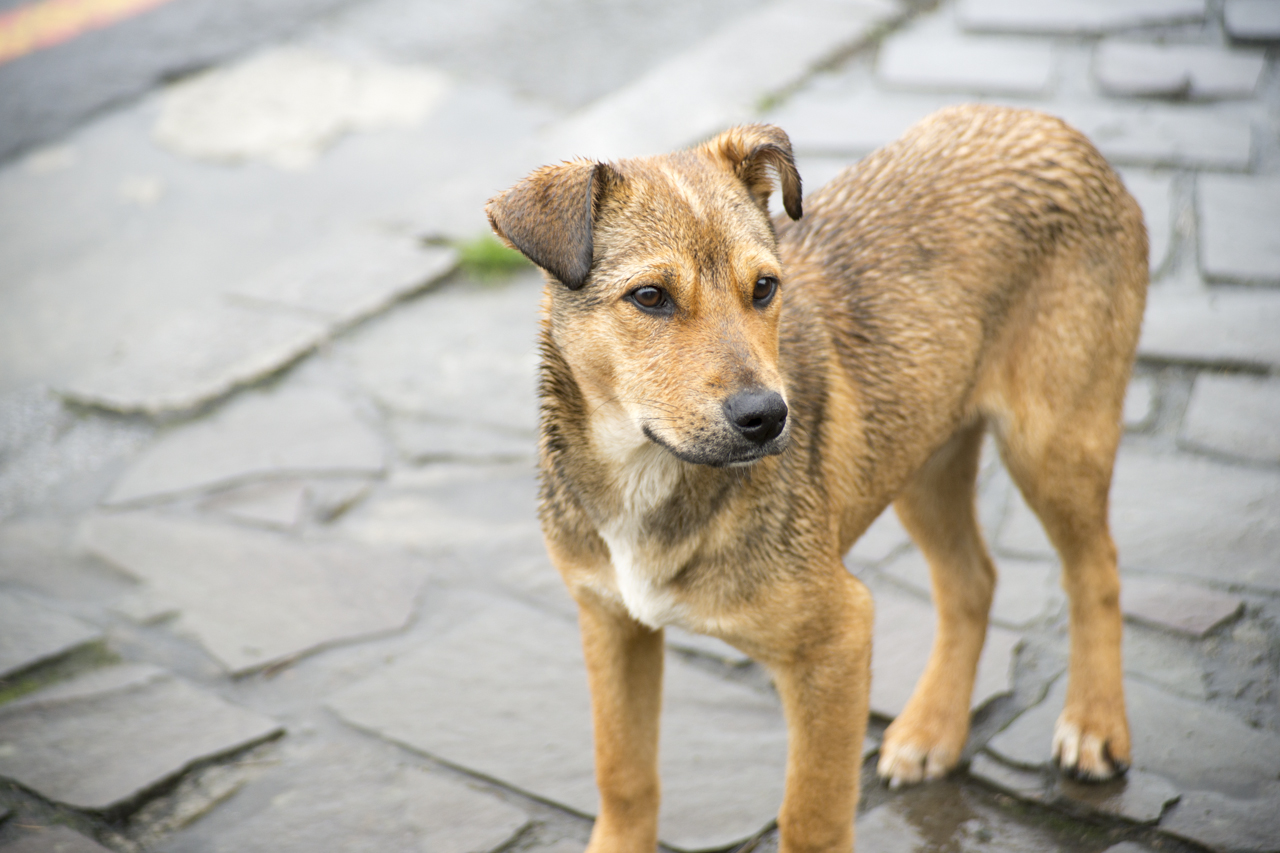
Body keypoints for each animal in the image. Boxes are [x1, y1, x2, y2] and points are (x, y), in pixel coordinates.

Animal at [486, 103, 1147, 852]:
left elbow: (812, 816)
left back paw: (1094, 726)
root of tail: (1048, 123)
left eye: (764, 288)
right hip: (922, 452)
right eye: (649, 297)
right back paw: (932, 730)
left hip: (1054, 442)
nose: (767, 417)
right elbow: (624, 776)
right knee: (972, 580)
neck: (651, 476)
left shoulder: (836, 641)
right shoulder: (610, 619)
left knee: (1095, 570)